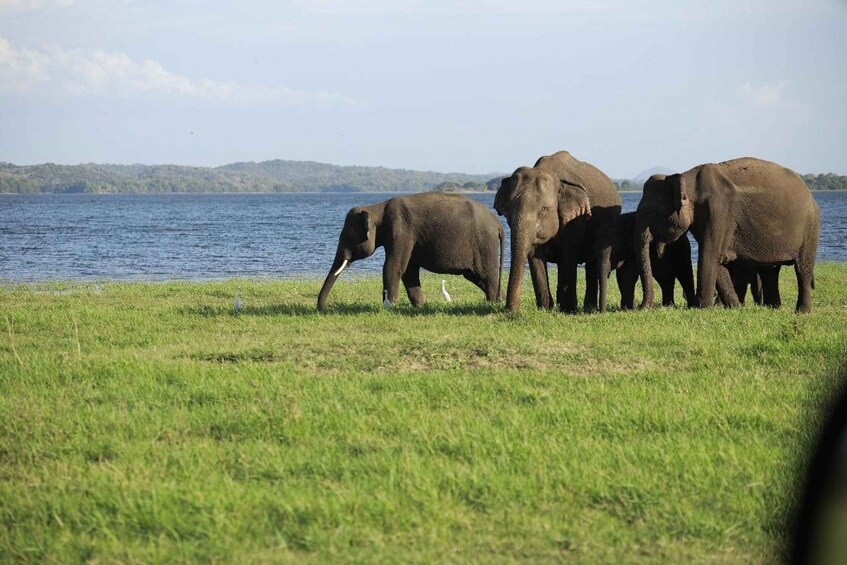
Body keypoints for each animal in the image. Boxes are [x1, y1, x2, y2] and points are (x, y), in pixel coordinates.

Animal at [496, 150, 624, 312]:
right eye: (509, 209)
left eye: (545, 209)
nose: (511, 310)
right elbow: (534, 255)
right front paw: (545, 309)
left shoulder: (576, 220)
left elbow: (567, 255)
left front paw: (567, 309)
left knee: (592, 263)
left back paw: (588, 308)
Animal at [636, 156, 820, 310]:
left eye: (648, 212)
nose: (639, 307)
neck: (686, 177)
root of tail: (809, 193)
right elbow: (719, 259)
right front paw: (735, 307)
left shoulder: (719, 210)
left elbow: (710, 254)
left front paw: (703, 309)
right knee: (770, 270)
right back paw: (773, 307)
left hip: (811, 228)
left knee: (802, 269)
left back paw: (802, 312)